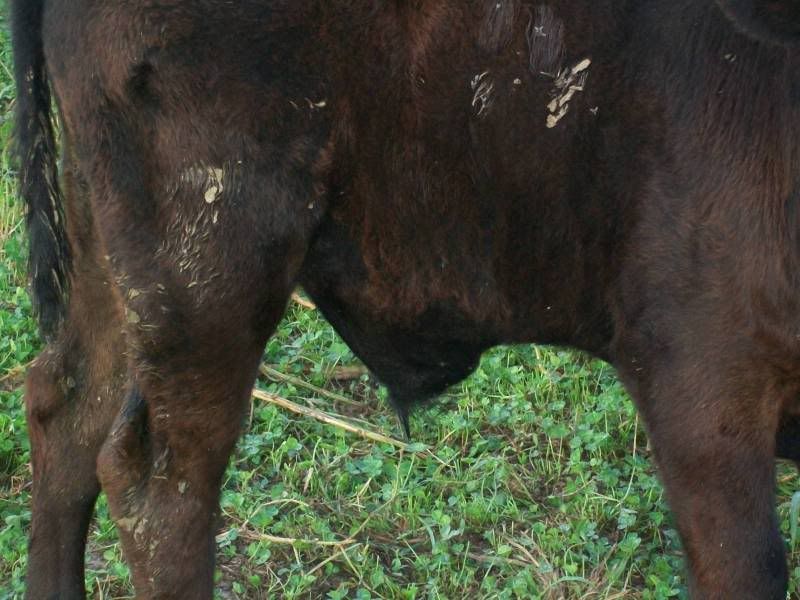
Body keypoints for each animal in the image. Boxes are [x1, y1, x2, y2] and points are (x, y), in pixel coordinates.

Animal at [10, 0, 800, 598]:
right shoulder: (703, 397)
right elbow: (748, 567)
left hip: (110, 244)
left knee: (66, 408)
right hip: (208, 274)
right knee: (161, 491)